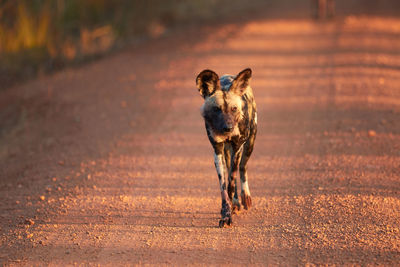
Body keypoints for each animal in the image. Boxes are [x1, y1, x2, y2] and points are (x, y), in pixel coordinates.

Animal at [196, 68, 256, 227]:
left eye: (234, 109)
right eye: (217, 109)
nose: (228, 128)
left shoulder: (238, 146)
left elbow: (231, 182)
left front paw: (231, 208)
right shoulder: (217, 151)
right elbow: (223, 186)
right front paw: (226, 213)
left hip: (249, 145)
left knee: (242, 168)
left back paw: (244, 197)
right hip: (227, 152)